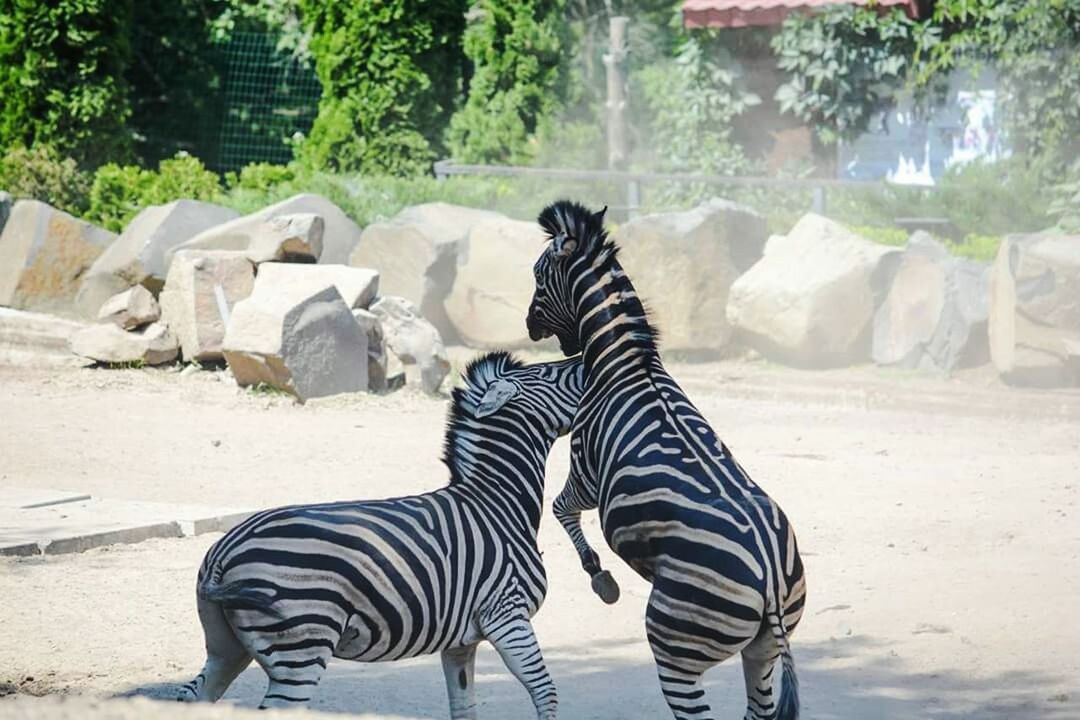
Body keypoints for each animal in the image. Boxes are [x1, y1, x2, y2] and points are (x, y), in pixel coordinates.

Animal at [177, 351, 583, 716]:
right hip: (301, 649)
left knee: (193, 694)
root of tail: (224, 552)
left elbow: (464, 707)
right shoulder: (507, 616)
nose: (584, 358)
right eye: (547, 373)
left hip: (226, 647)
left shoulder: (460, 641)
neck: (497, 502)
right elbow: (546, 693)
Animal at [518, 201, 807, 720]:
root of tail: (772, 578)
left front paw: (599, 575)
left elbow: (560, 507)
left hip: (675, 643)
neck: (627, 361)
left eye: (536, 274)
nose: (529, 326)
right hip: (764, 649)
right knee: (760, 707)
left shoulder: (586, 471)